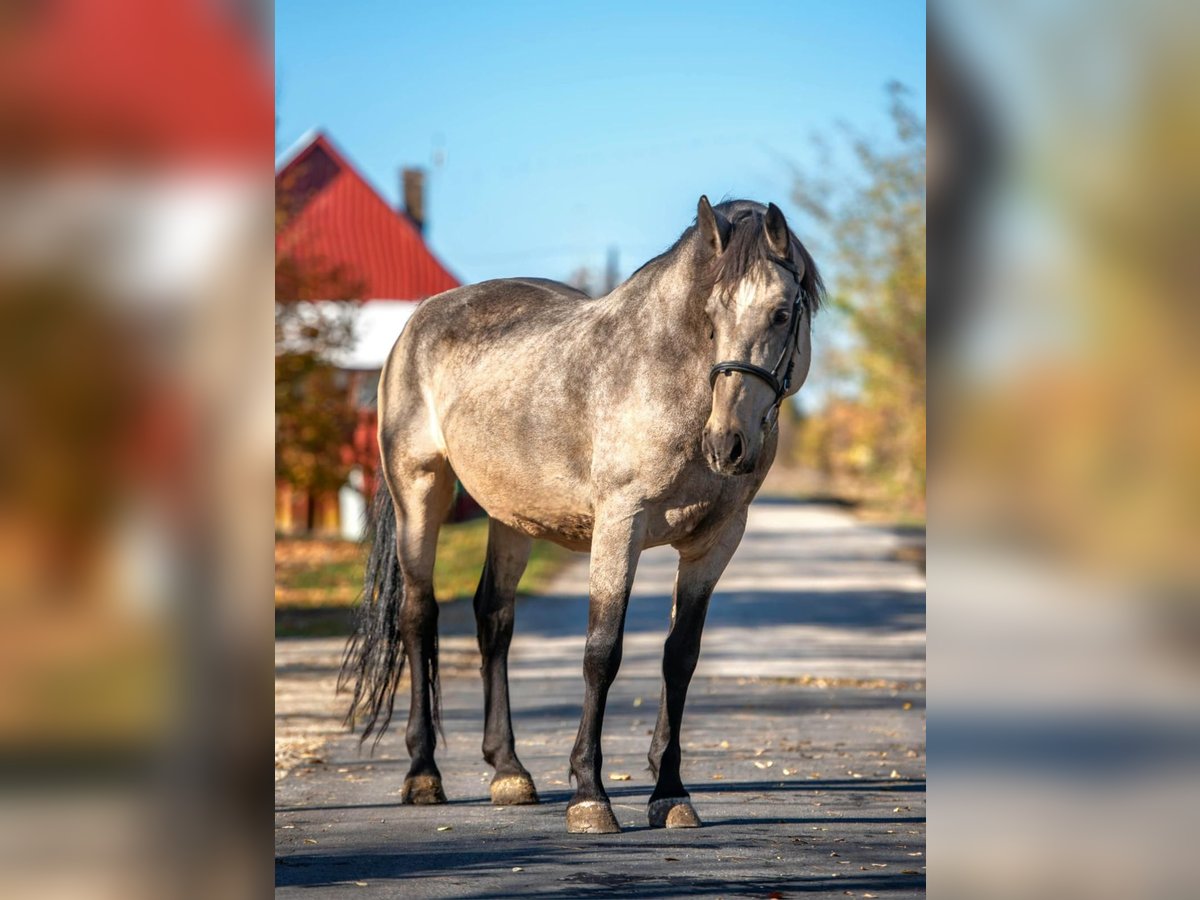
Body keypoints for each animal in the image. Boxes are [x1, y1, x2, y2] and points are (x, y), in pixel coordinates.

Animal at [340, 196, 823, 834]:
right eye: (711, 313)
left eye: (781, 313)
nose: (729, 444)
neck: (670, 377)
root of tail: (415, 324)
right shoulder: (620, 524)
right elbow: (602, 652)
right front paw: (590, 795)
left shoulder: (716, 541)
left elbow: (680, 657)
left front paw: (670, 792)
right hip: (419, 493)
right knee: (419, 617)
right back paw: (423, 774)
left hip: (511, 518)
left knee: (494, 618)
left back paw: (509, 772)